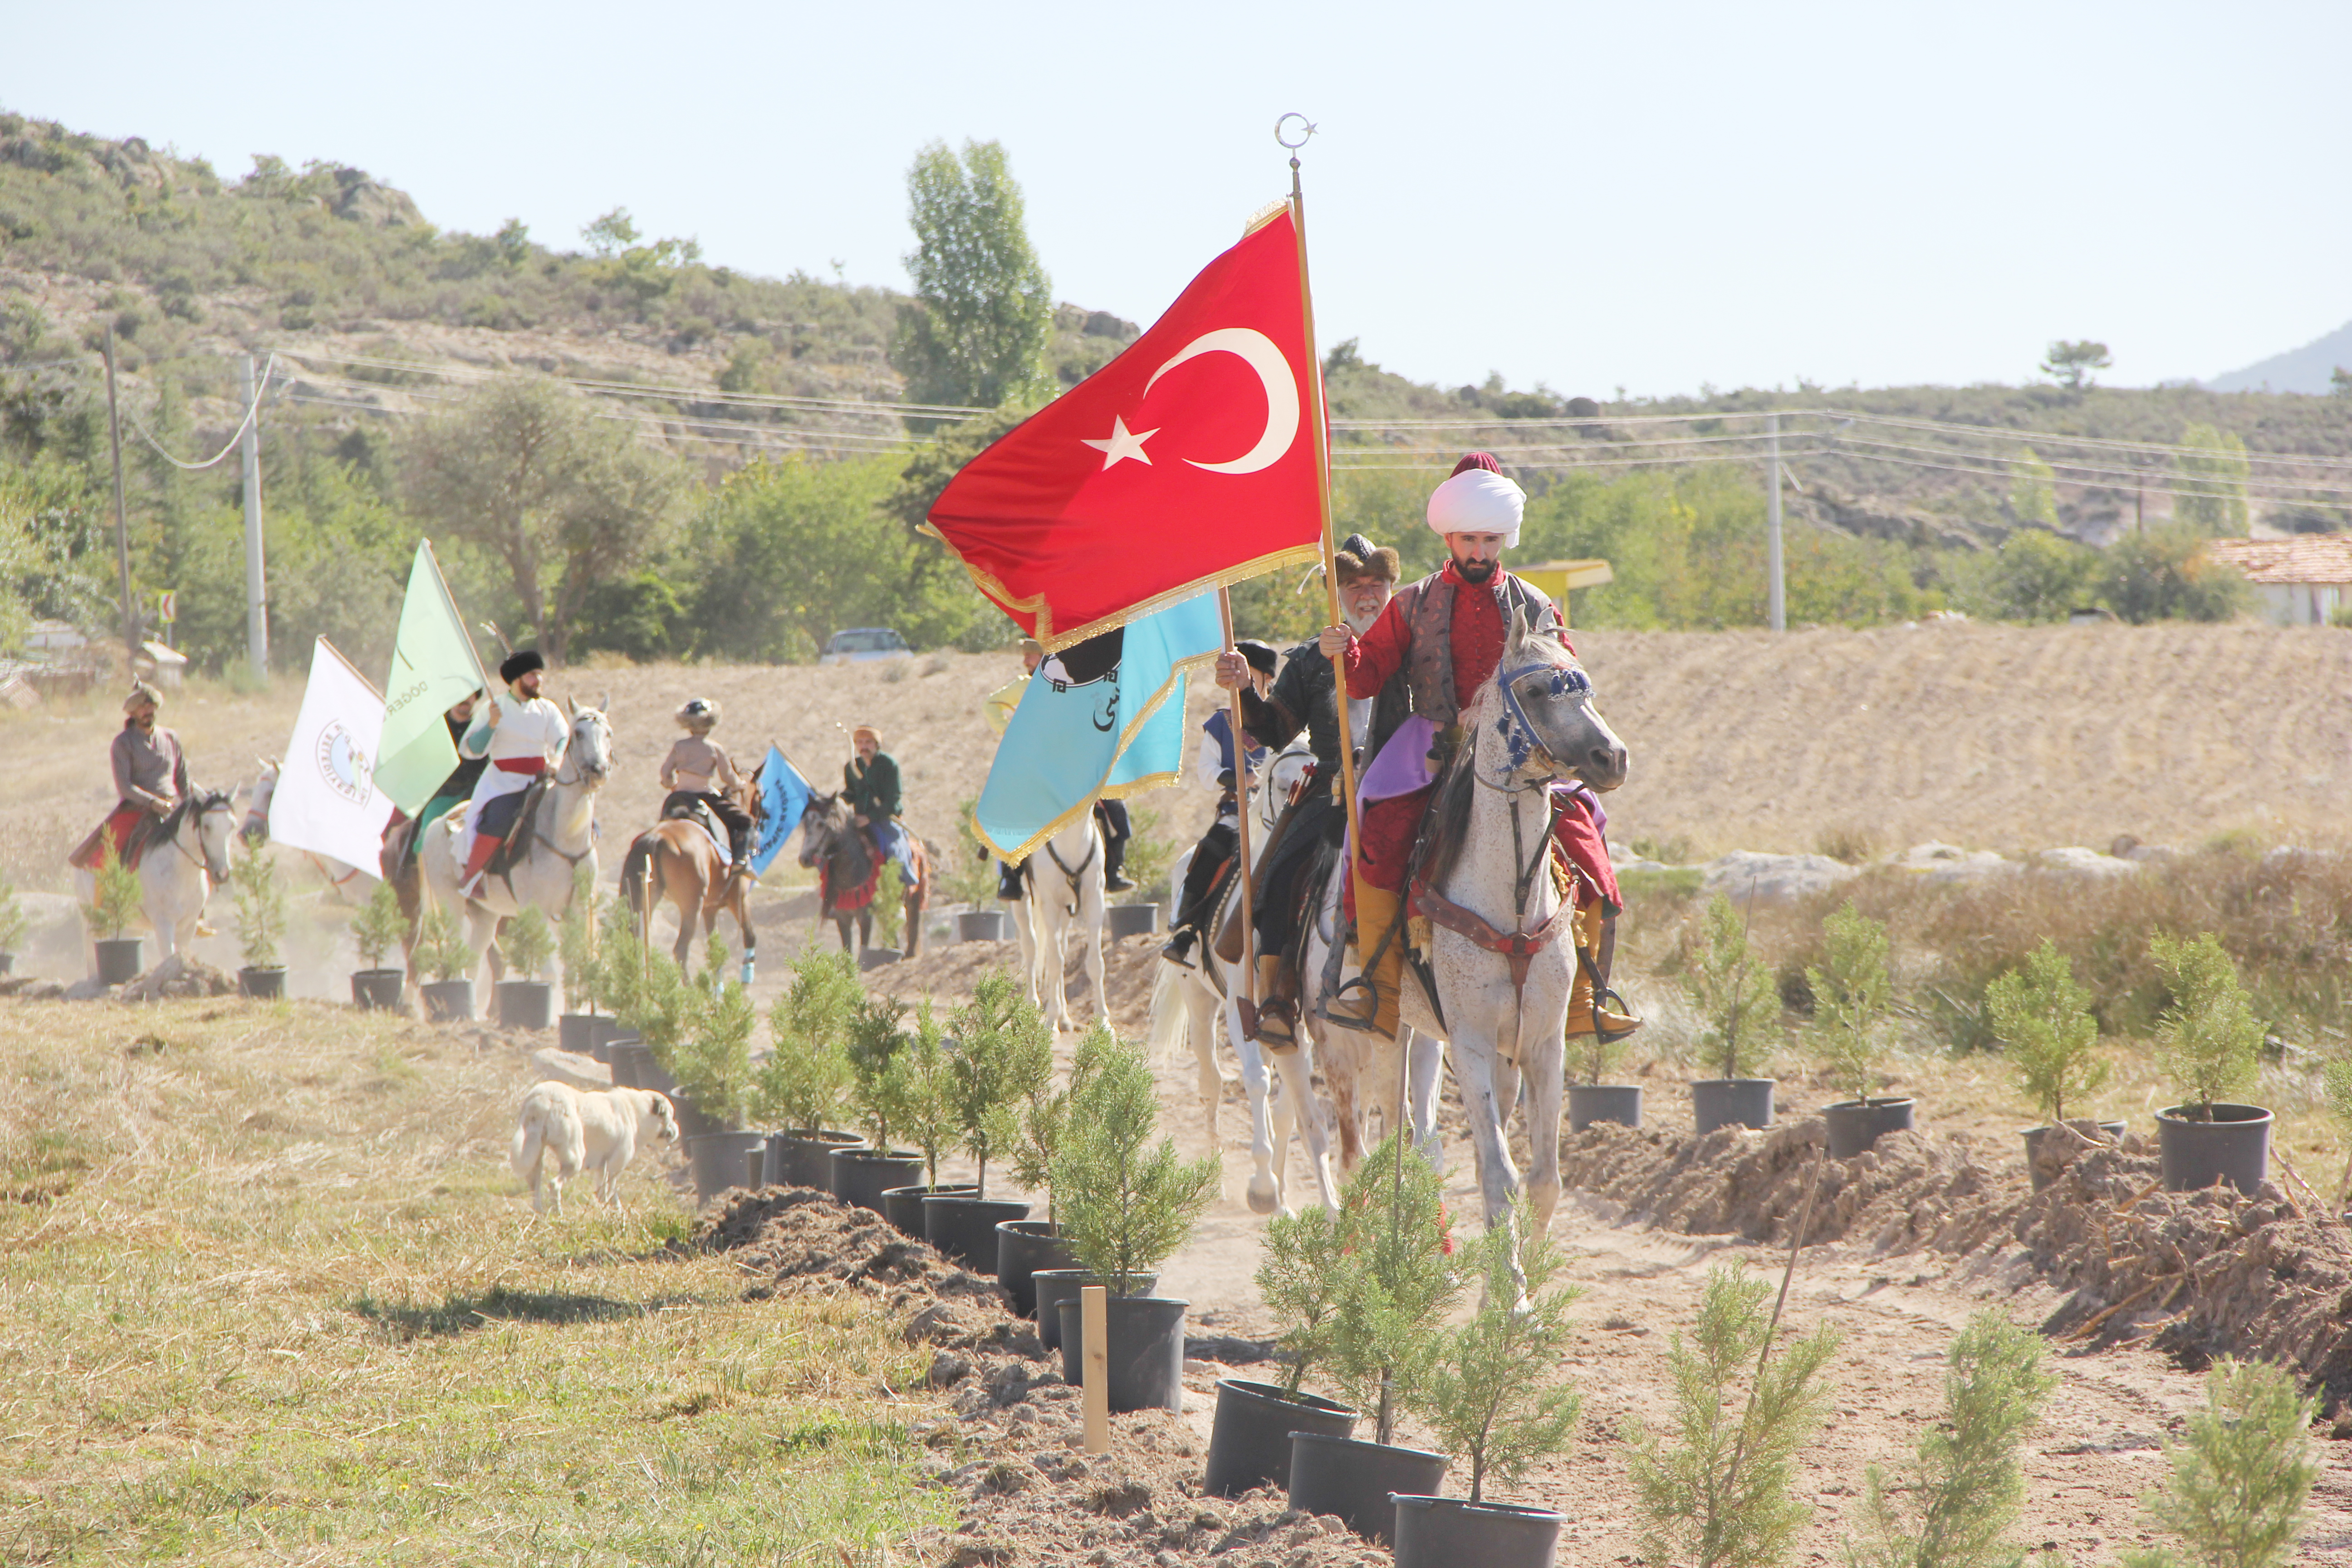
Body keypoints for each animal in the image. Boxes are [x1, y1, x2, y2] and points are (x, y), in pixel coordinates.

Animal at [75, 785, 241, 968]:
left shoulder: (188, 926)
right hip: (90, 918)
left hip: (132, 926)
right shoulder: (164, 925)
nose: (223, 874)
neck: (182, 875)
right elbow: (169, 957)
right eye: (207, 826)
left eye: (232, 826)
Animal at [421, 701, 616, 982]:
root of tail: (437, 824)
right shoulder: (538, 914)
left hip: (486, 916)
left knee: (472, 961)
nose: (599, 770)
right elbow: (550, 973)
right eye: (578, 733)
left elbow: (577, 970)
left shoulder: (579, 912)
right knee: (455, 960)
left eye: (608, 733)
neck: (565, 837)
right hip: (451, 904)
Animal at [503, 1086, 672, 1222]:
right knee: (554, 1185)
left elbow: (604, 1193)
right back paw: (558, 1214)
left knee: (535, 1187)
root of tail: (543, 1099)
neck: (635, 1111)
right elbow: (611, 1193)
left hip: (536, 1156)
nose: (676, 1130)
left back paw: (540, 1213)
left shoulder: (603, 1169)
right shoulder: (614, 1168)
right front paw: (612, 1213)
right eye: (669, 1116)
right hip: (575, 1160)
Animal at [799, 799, 926, 959]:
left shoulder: (865, 917)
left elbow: (863, 946)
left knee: (912, 926)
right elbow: (848, 950)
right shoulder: (843, 918)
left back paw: (909, 953)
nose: (804, 859)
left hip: (914, 898)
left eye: (821, 824)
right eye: (805, 825)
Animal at [1143, 752, 1336, 1222]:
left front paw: (1280, 1195)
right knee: (1211, 1081)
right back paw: (1215, 1177)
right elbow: (1256, 1083)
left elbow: (1285, 1107)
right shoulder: (1237, 1010)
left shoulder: (1290, 1025)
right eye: (1283, 783)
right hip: (1199, 1005)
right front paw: (1264, 1188)